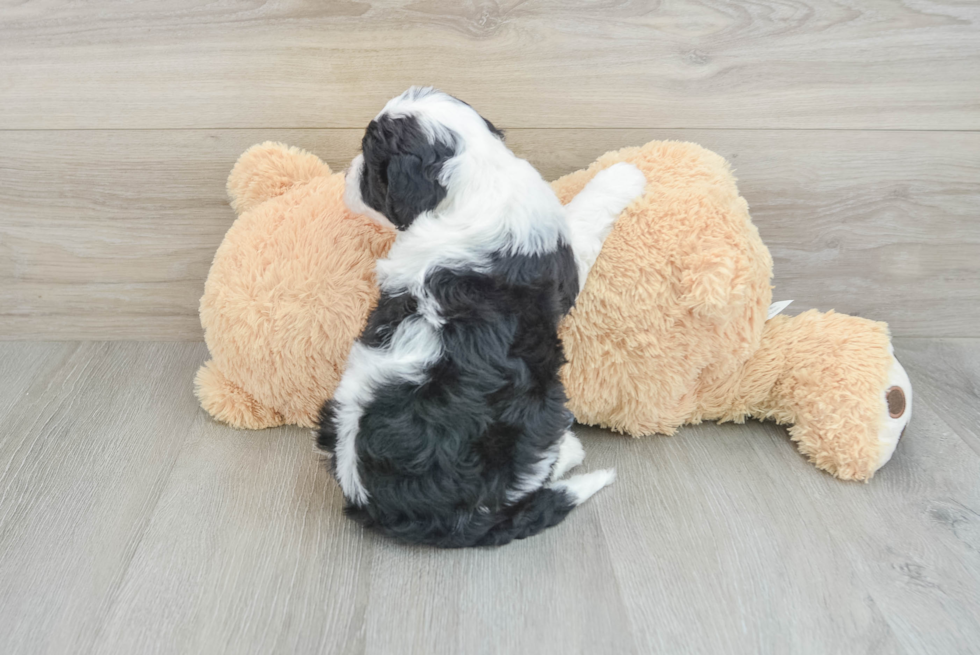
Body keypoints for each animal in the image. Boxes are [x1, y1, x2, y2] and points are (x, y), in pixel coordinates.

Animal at [318, 88, 648, 548]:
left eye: (368, 159)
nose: (347, 174)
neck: (478, 178)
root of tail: (374, 504)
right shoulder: (564, 259)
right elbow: (583, 215)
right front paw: (624, 174)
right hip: (535, 413)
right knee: (529, 475)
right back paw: (570, 451)